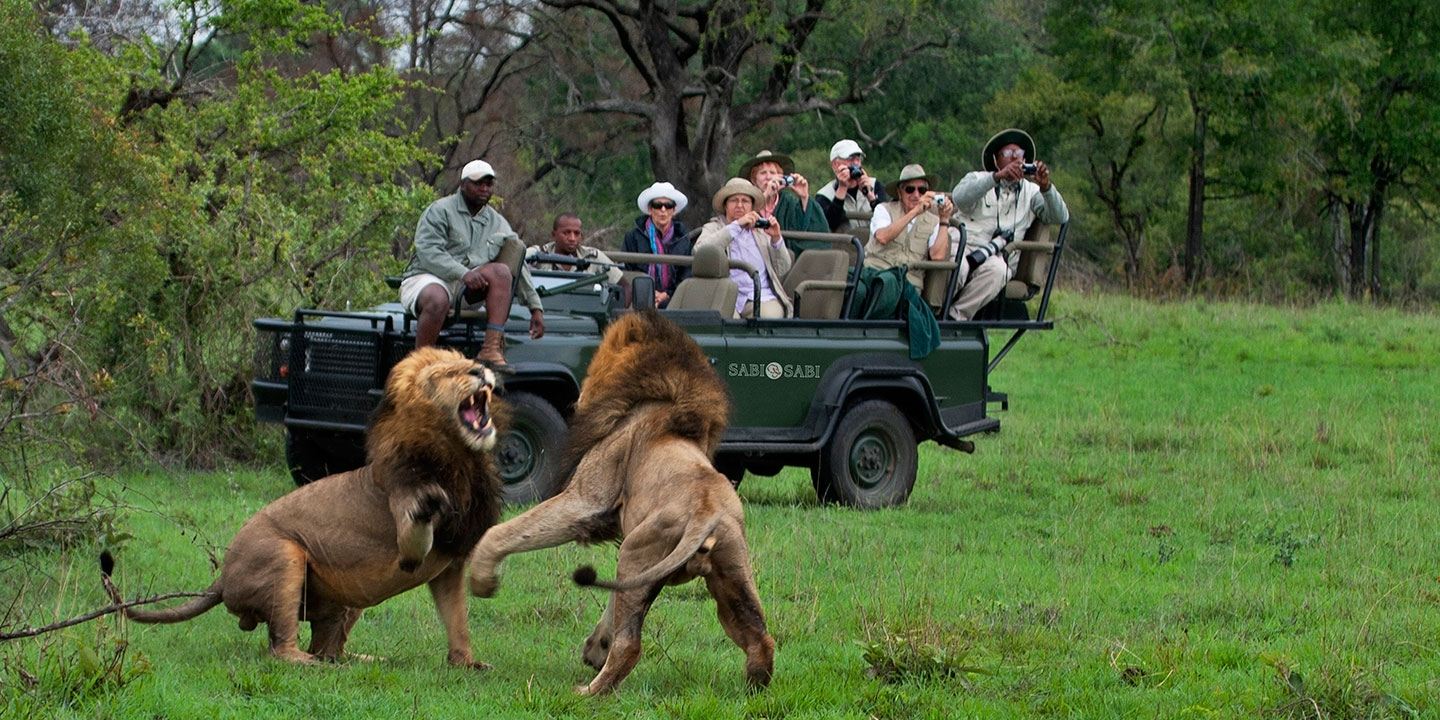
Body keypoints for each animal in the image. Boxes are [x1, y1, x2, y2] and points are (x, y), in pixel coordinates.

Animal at [101, 348, 506, 668]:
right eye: (443, 374)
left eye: (469, 361)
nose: (480, 370)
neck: (462, 458)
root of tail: (222, 576)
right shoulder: (405, 518)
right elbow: (414, 538)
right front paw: (431, 502)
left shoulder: (451, 565)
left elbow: (457, 620)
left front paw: (466, 663)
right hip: (284, 556)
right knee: (281, 648)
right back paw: (309, 663)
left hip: (346, 596)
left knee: (329, 646)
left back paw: (361, 659)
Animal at [466, 309, 771, 691]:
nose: (577, 399)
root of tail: (708, 513)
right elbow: (613, 600)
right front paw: (596, 647)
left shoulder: (584, 501)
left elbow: (501, 532)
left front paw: (482, 580)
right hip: (726, 569)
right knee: (760, 638)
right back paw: (754, 686)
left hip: (637, 551)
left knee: (630, 646)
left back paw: (588, 692)